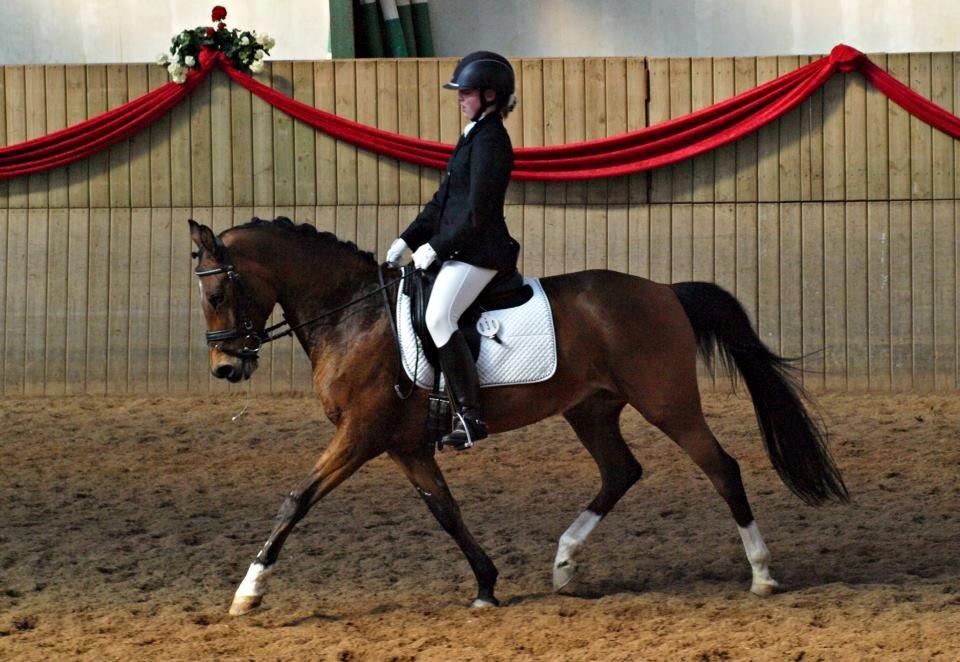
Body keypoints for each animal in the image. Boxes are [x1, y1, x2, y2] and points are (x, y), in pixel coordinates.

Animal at [187, 216, 848, 616]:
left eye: (216, 294)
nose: (224, 369)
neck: (352, 316)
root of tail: (665, 291)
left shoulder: (361, 435)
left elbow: (296, 499)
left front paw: (248, 591)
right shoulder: (406, 446)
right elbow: (446, 512)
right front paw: (486, 583)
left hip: (669, 403)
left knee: (722, 468)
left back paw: (761, 574)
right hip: (591, 409)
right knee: (621, 472)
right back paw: (564, 564)